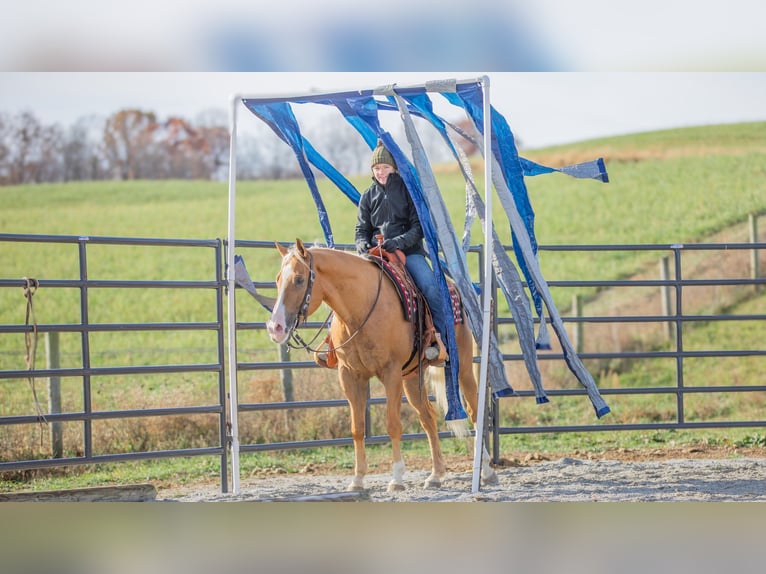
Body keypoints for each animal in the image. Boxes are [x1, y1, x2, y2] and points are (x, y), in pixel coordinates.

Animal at [268, 238, 500, 496]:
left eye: (299, 279)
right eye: (278, 278)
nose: (275, 327)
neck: (361, 308)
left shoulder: (390, 373)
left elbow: (393, 425)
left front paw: (396, 478)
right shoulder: (350, 376)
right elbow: (357, 428)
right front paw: (358, 479)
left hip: (463, 367)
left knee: (473, 410)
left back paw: (486, 471)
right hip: (411, 377)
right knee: (427, 417)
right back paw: (436, 475)